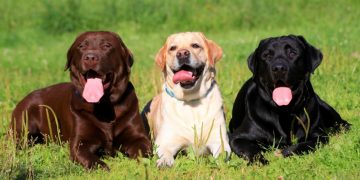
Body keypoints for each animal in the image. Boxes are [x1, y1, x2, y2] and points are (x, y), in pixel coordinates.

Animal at [10, 31, 150, 170]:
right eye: (81, 46)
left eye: (106, 45)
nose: (90, 57)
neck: (103, 106)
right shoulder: (80, 142)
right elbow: (89, 158)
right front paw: (103, 167)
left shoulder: (138, 137)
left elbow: (144, 151)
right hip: (22, 128)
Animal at [141, 32, 231, 167]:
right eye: (173, 48)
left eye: (195, 45)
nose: (182, 53)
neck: (191, 100)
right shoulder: (164, 142)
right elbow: (165, 153)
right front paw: (165, 161)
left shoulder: (219, 139)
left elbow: (222, 153)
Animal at [229, 34, 350, 164]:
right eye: (267, 55)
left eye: (292, 53)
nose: (279, 68)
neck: (284, 111)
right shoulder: (237, 137)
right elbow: (251, 149)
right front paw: (261, 161)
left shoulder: (318, 134)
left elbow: (306, 144)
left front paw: (286, 151)